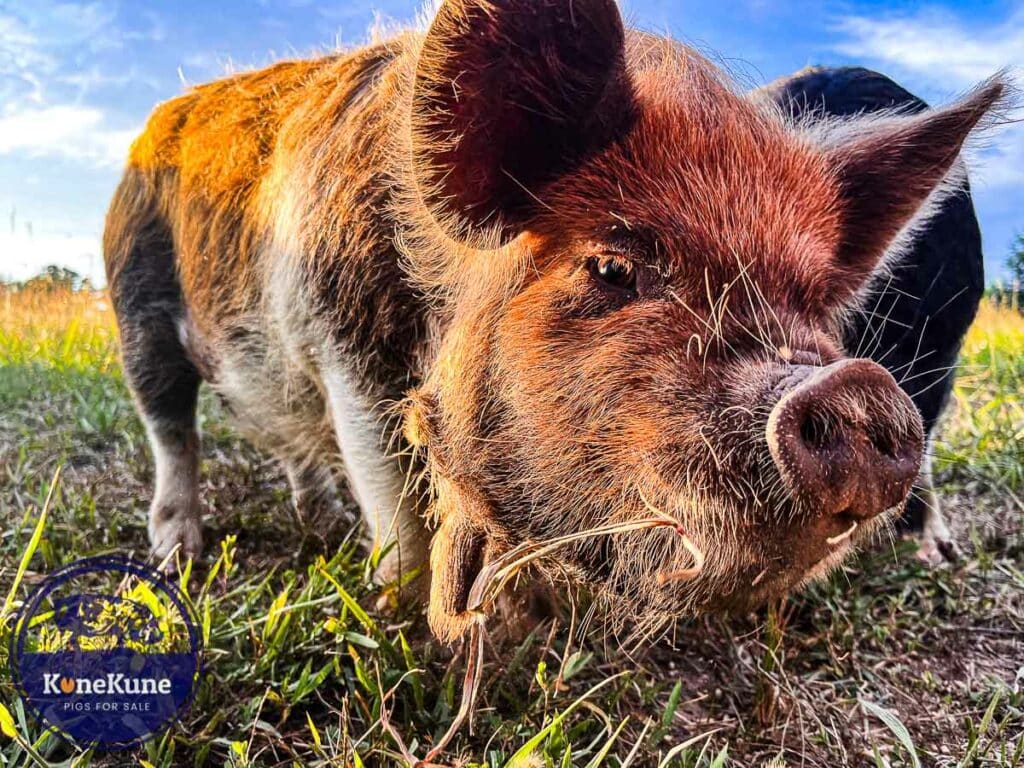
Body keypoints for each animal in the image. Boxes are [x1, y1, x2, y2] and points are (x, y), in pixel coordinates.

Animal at [105, 0, 1007, 643]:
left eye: (817, 304)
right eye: (611, 267)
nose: (857, 388)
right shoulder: (342, 346)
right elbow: (401, 509)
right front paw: (416, 629)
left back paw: (317, 521)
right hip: (132, 303)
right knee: (170, 427)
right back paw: (178, 553)